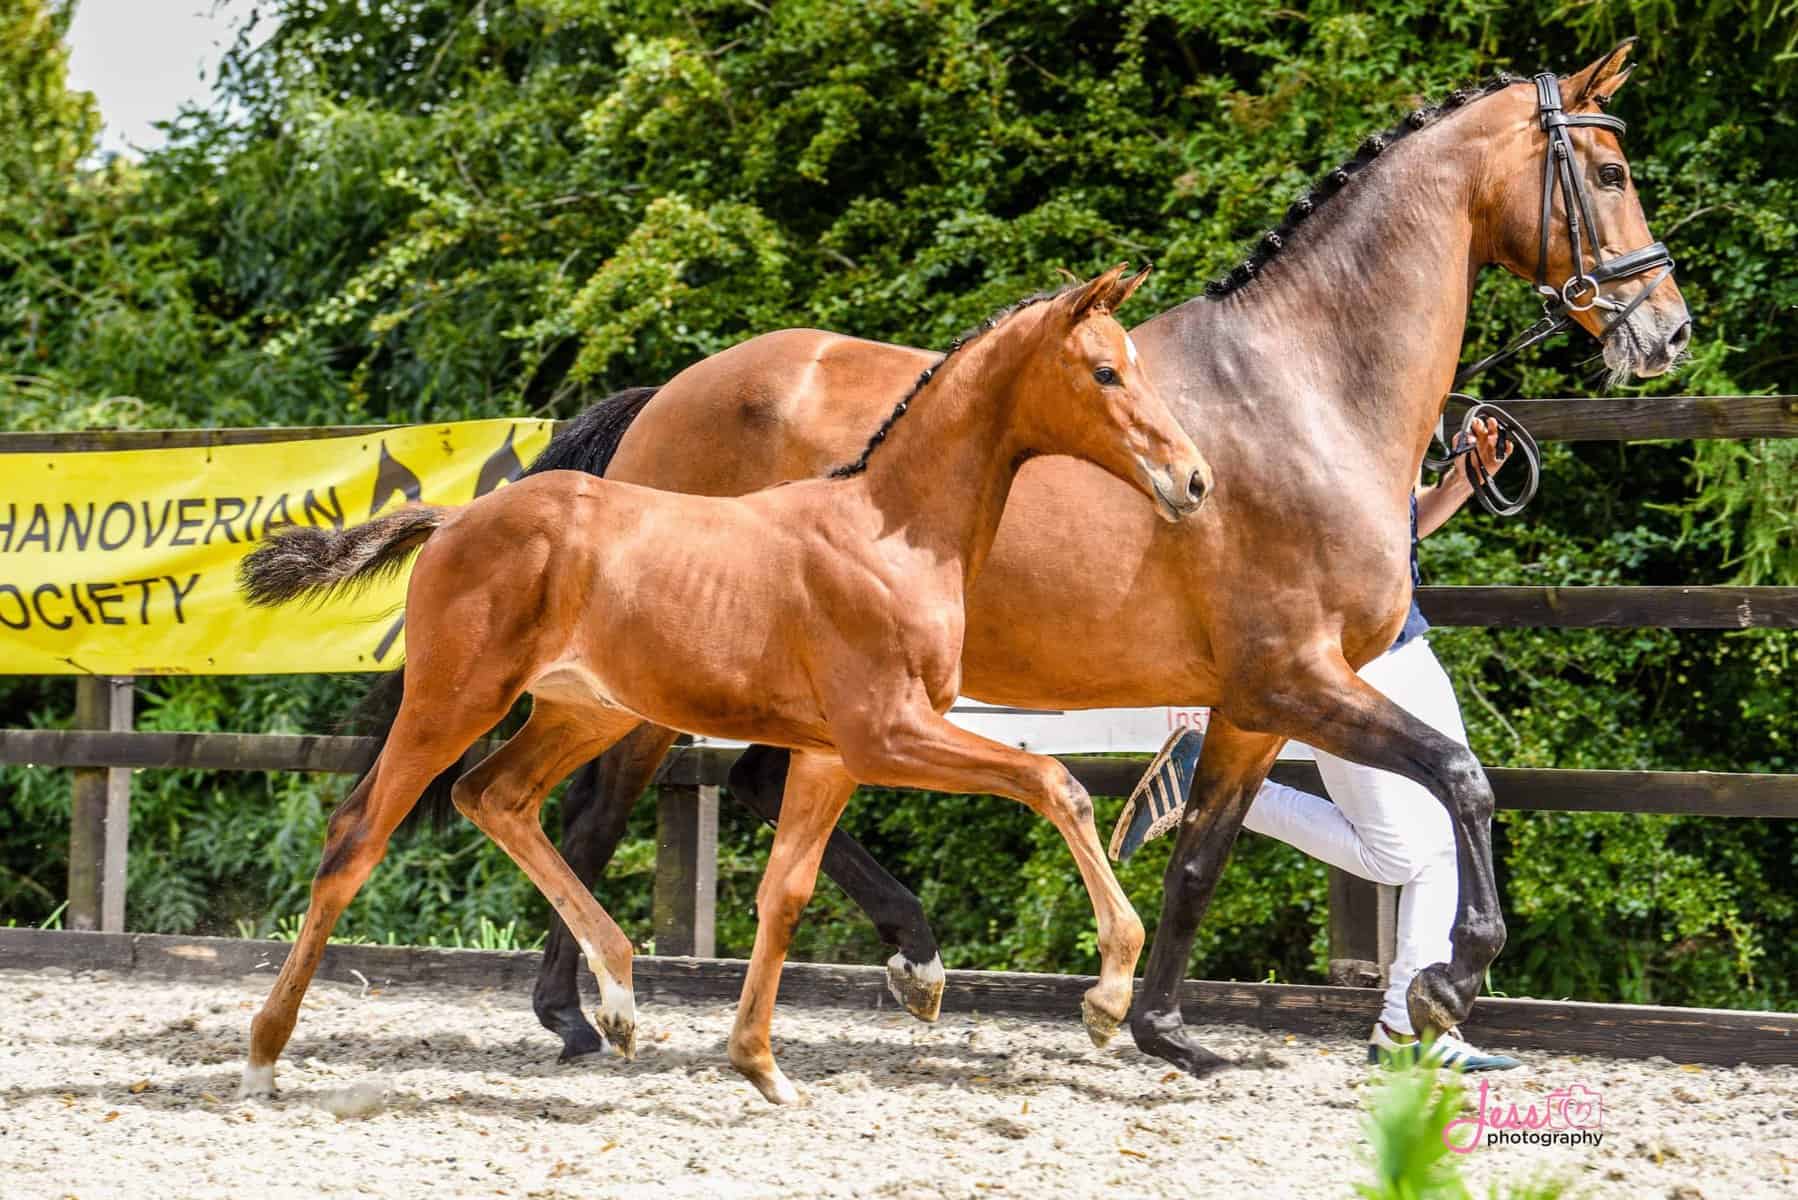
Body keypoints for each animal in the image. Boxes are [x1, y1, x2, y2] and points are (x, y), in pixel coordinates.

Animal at [236, 265, 1211, 1105]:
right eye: (1105, 372)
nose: (1194, 479)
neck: (891, 534)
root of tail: (455, 518)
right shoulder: (886, 733)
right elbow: (1056, 782)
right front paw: (1105, 997)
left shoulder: (829, 755)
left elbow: (784, 894)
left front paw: (761, 1065)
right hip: (455, 700)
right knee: (357, 835)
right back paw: (263, 1056)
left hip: (581, 713)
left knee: (497, 797)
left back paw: (618, 1002)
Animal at [455, 44, 1692, 1075]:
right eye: (1609, 167)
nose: (1667, 329)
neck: (1303, 389)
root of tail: (666, 396)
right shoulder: (1298, 677)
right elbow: (1462, 778)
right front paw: (1449, 979)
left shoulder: (1254, 704)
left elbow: (1201, 859)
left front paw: (1162, 1030)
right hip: (665, 682)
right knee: (591, 814)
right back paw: (585, 1013)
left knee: (727, 788)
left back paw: (898, 958)